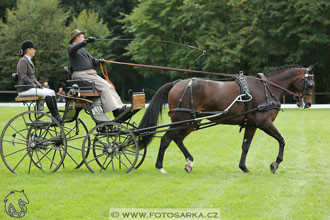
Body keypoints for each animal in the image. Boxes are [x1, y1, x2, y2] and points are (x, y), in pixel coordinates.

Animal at [138, 65, 316, 174]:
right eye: (311, 84)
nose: (308, 103)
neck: (266, 88)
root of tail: (177, 83)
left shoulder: (251, 125)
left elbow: (246, 146)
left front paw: (243, 167)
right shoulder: (264, 123)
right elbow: (281, 140)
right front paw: (275, 164)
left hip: (190, 122)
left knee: (178, 139)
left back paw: (189, 162)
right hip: (180, 120)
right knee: (166, 139)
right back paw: (160, 167)